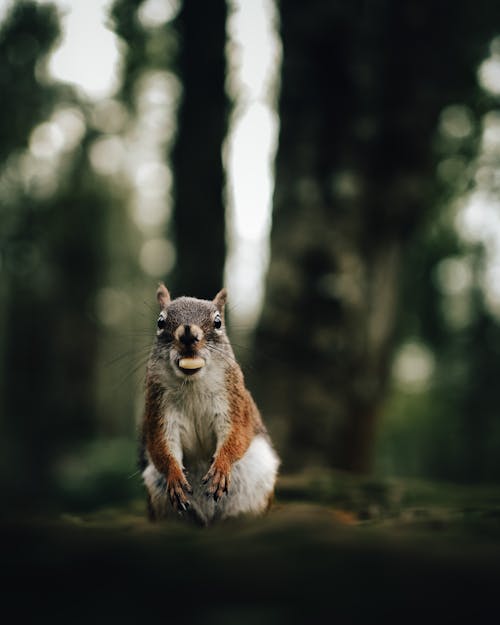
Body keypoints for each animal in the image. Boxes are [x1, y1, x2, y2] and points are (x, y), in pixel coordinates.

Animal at [139, 282, 280, 520]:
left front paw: (222, 465)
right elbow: (161, 445)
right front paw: (174, 474)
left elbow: (237, 435)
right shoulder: (158, 410)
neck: (192, 383)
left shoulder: (235, 403)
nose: (188, 333)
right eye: (160, 321)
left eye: (218, 322)